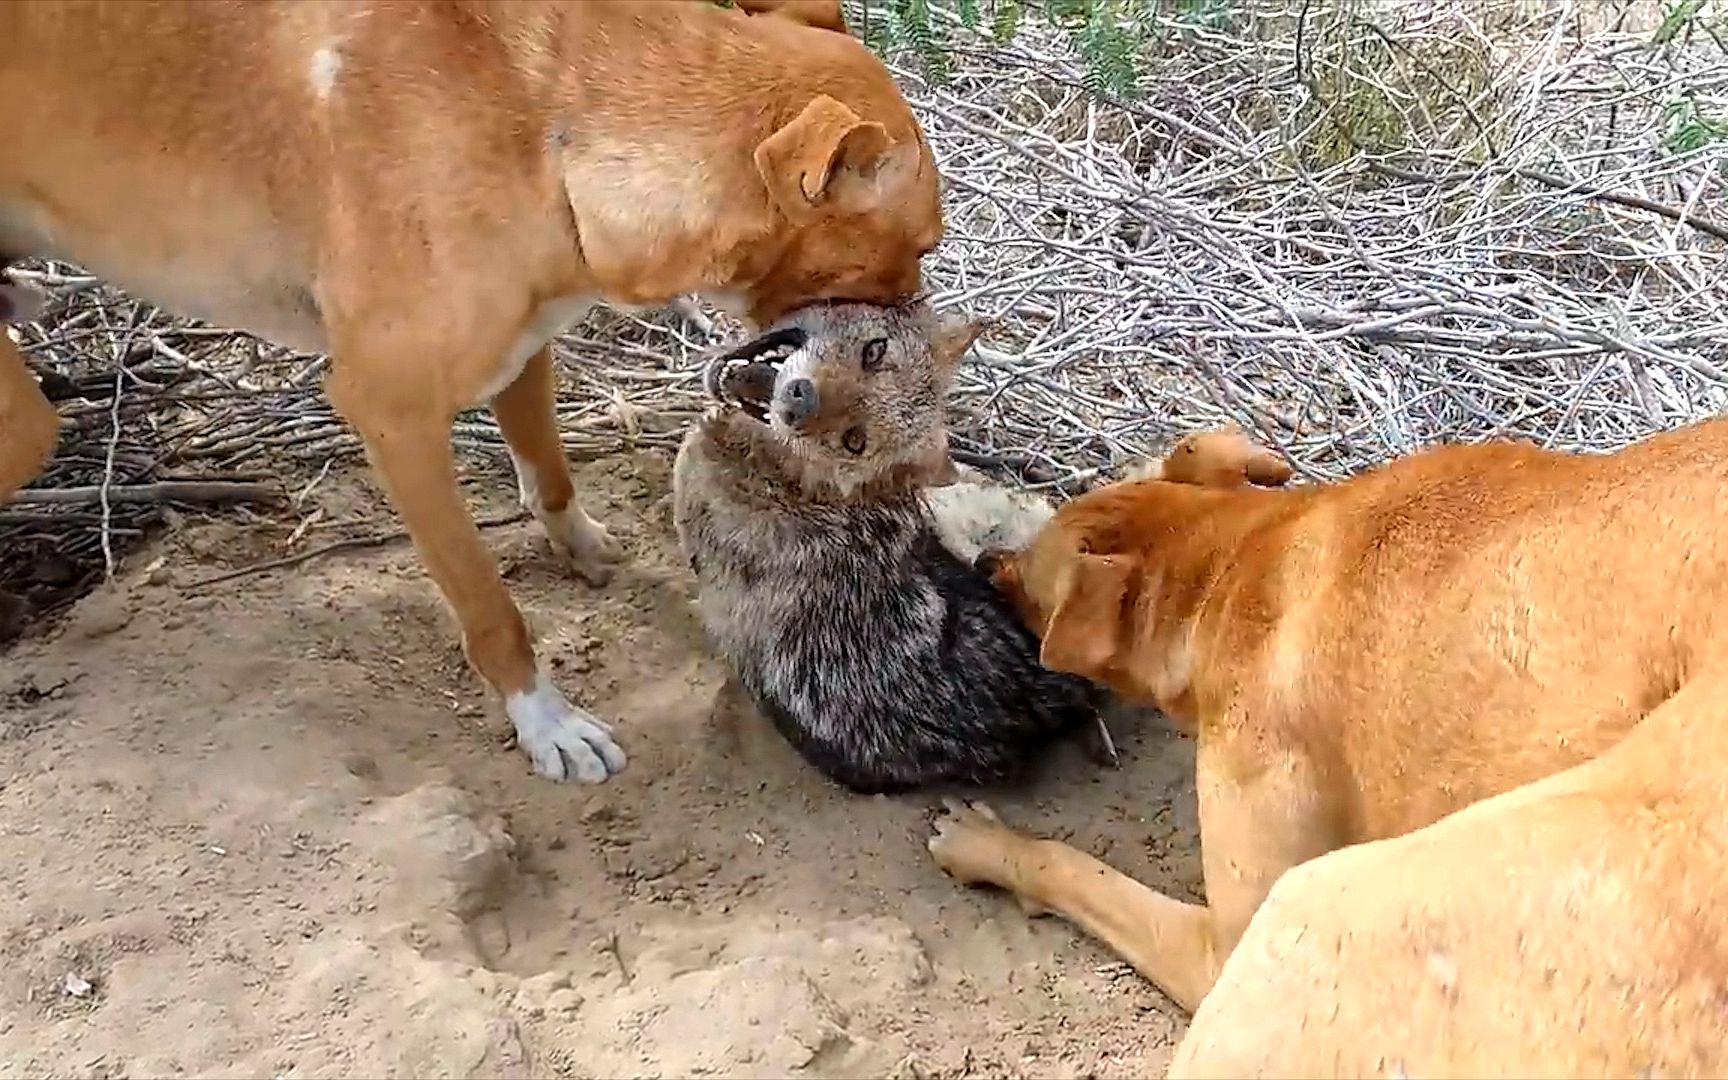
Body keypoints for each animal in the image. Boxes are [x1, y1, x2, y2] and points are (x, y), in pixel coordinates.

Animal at [3, 2, 946, 784]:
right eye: (922, 246)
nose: (924, 336)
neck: (553, 132)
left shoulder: (524, 339)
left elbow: (549, 471)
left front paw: (580, 544)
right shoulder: (392, 413)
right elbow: (490, 604)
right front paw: (545, 721)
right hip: (27, 422)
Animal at [933, 421, 1728, 1043]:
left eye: (1027, 577)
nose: (984, 561)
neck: (1235, 562)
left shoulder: (1222, 941)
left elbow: (1074, 868)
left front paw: (986, 845)